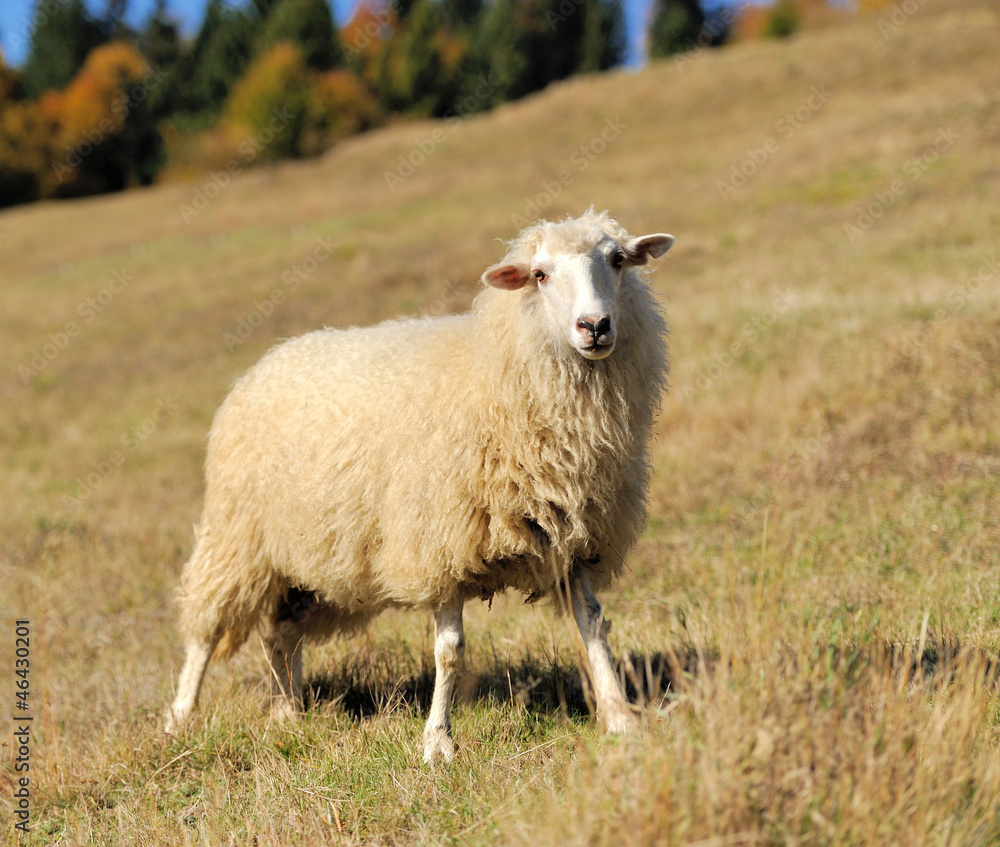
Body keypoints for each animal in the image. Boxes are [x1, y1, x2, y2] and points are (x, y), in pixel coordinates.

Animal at [168, 210, 676, 760]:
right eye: (539, 275)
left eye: (618, 260)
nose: (595, 326)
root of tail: (271, 359)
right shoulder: (442, 541)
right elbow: (450, 652)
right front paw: (438, 743)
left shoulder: (574, 537)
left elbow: (593, 625)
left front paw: (620, 718)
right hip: (236, 536)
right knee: (204, 630)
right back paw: (180, 717)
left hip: (307, 559)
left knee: (281, 635)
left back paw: (288, 713)